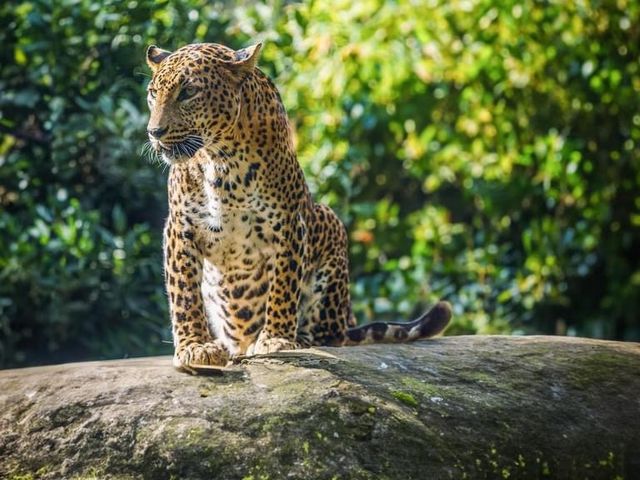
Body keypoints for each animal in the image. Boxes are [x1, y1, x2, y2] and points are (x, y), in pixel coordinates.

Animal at [146, 41, 452, 374]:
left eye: (188, 92)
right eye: (153, 93)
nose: (154, 132)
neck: (220, 160)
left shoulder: (289, 223)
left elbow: (284, 285)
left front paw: (276, 340)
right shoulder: (181, 228)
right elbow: (184, 292)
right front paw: (195, 347)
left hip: (330, 224)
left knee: (327, 332)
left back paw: (298, 340)